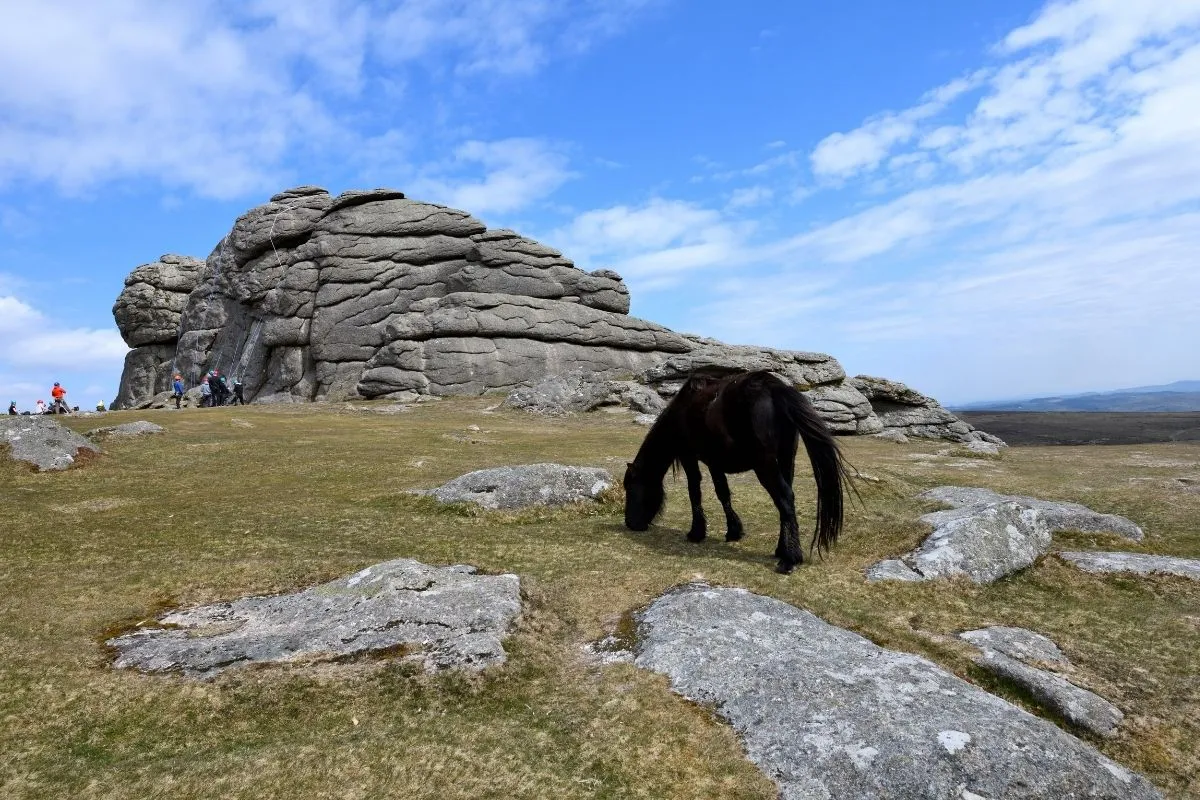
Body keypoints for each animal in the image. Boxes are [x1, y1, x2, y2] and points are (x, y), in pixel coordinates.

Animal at [623, 370, 849, 573]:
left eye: (630, 488)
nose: (630, 523)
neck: (682, 410)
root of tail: (773, 387)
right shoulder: (714, 462)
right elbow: (723, 493)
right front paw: (733, 531)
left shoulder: (689, 457)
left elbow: (694, 490)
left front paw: (696, 532)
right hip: (786, 459)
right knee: (786, 504)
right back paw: (781, 550)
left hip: (765, 464)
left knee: (785, 498)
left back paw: (790, 560)